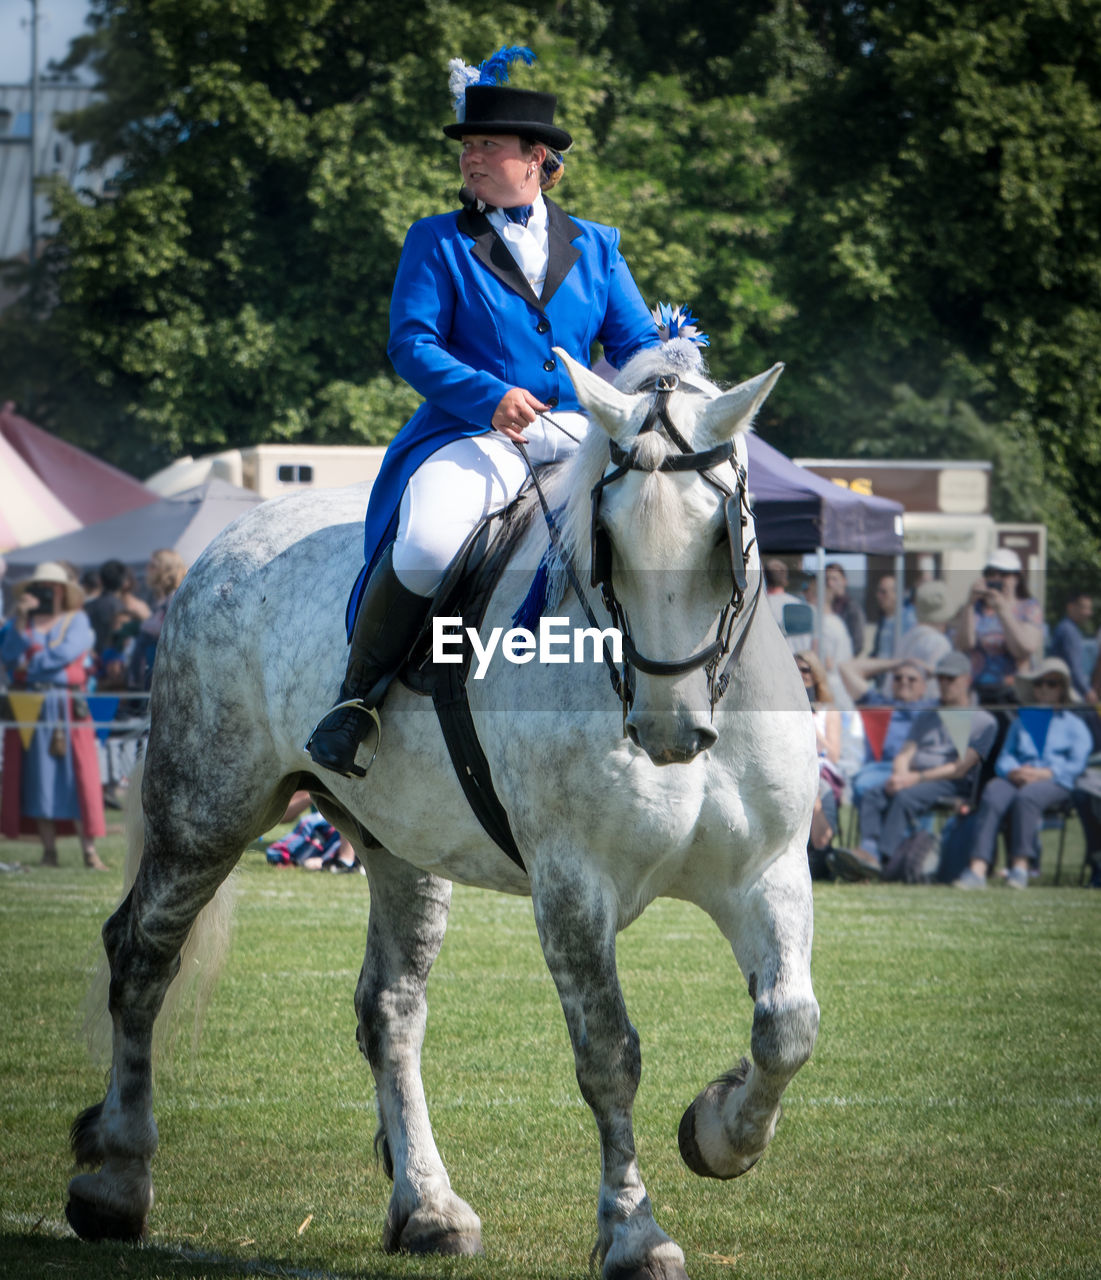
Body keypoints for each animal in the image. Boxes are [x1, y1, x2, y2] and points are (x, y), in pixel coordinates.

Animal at [62, 343, 819, 1280]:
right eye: (605, 542)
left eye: (725, 534)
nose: (669, 730)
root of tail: (224, 546)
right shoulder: (573, 889)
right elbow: (608, 1056)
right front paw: (634, 1232)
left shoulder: (766, 872)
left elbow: (786, 1028)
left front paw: (717, 1133)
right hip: (205, 813)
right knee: (141, 959)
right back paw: (117, 1180)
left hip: (398, 849)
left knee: (389, 1010)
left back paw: (426, 1207)